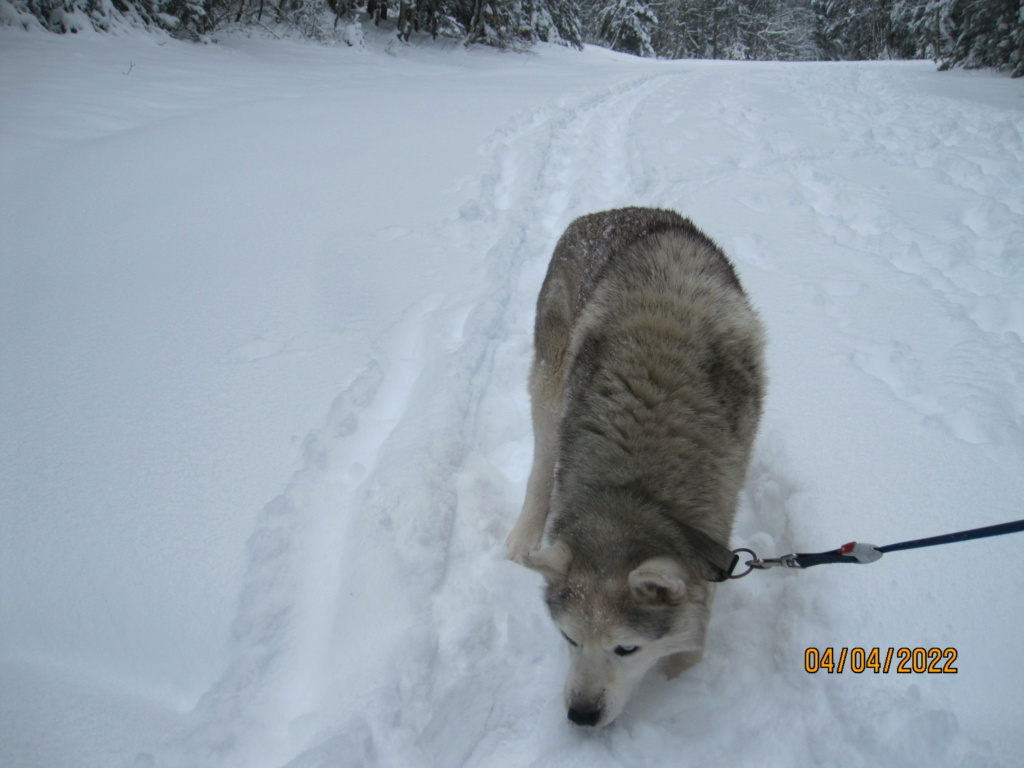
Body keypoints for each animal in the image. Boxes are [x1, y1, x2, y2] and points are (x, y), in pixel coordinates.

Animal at [507, 204, 765, 729]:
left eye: (627, 649)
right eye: (569, 639)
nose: (581, 716)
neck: (635, 487)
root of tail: (612, 212)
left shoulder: (712, 535)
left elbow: (693, 636)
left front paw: (679, 686)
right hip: (552, 385)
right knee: (542, 466)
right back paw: (524, 537)